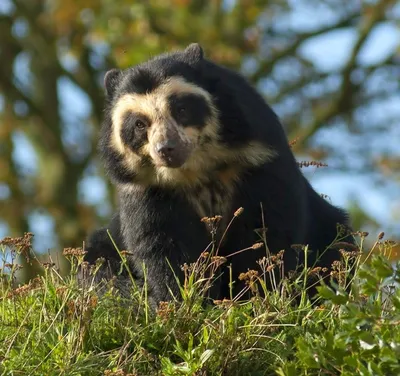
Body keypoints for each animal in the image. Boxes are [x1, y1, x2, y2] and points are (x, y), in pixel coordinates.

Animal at [82, 42, 354, 306]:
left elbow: (266, 229)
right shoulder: (149, 188)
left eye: (182, 109)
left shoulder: (257, 159)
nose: (167, 149)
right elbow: (163, 244)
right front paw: (184, 300)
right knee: (98, 270)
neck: (196, 169)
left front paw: (255, 296)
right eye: (139, 124)